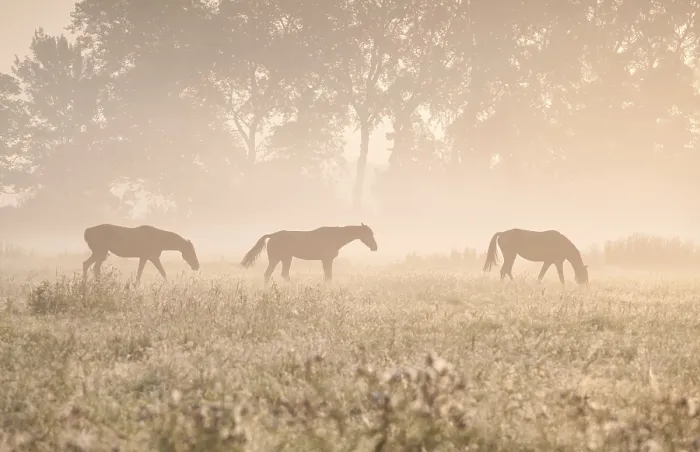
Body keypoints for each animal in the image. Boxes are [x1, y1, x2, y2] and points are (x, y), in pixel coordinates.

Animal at [240, 223, 378, 283]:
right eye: (368, 234)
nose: (375, 247)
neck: (334, 237)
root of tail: (272, 235)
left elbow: (328, 275)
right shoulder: (327, 260)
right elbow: (328, 276)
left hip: (283, 259)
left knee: (272, 274)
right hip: (280, 259)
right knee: (275, 274)